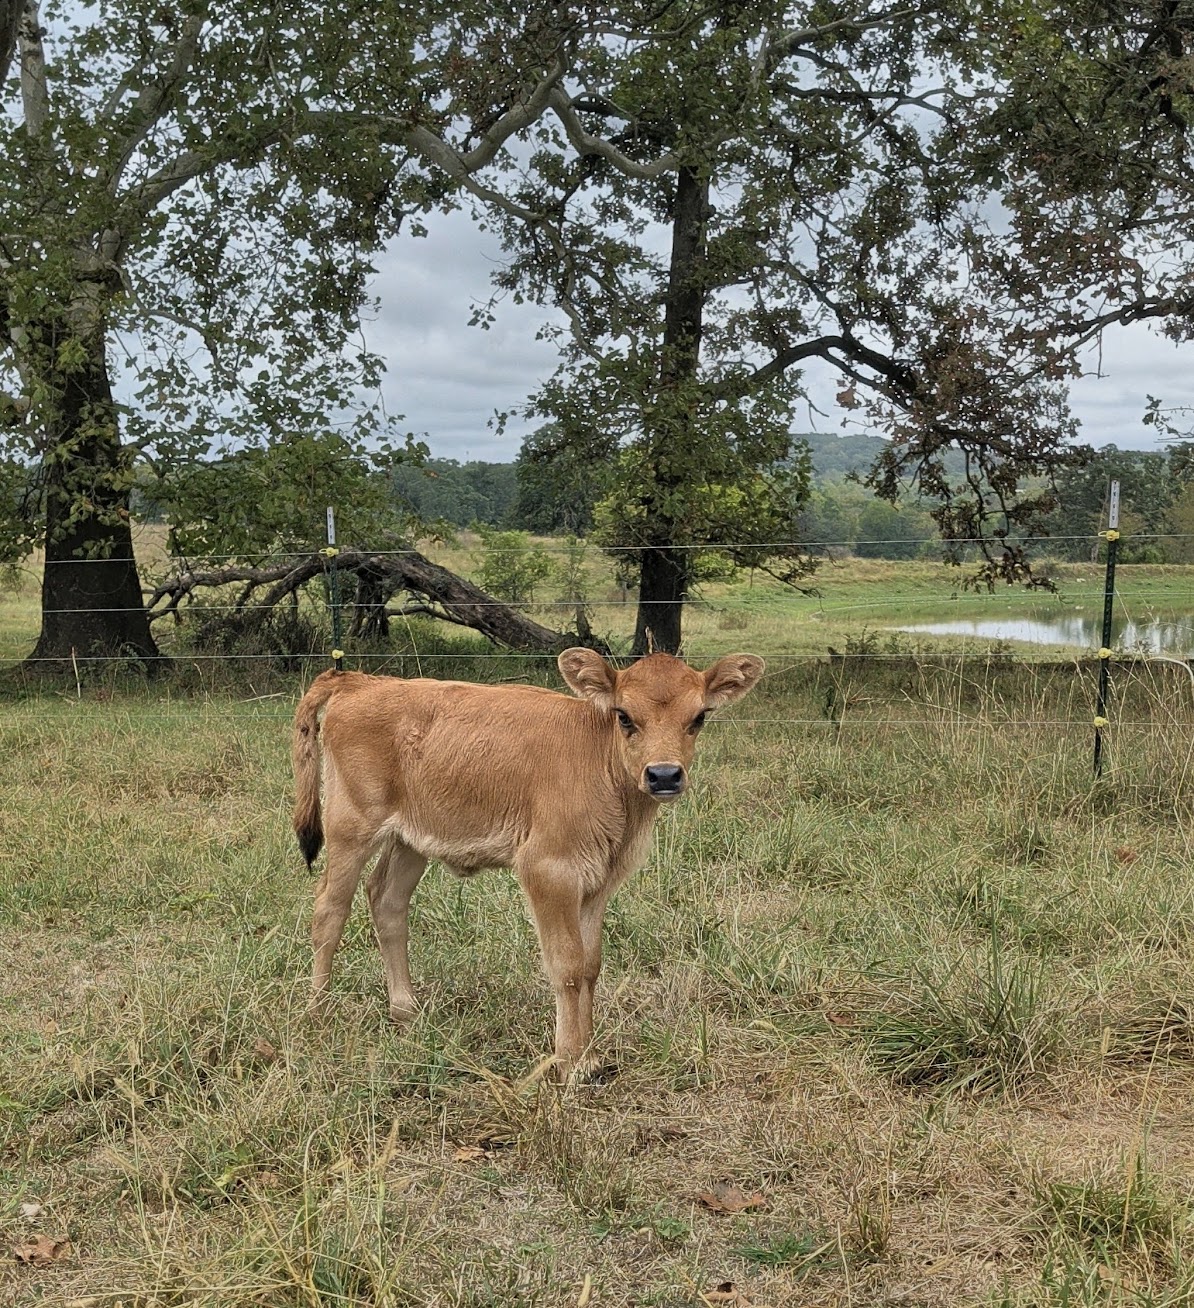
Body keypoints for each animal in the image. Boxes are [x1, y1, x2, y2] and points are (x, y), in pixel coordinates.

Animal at [291, 646, 764, 1078]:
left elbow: (590, 965)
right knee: (330, 910)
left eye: (699, 717)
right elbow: (566, 965)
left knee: (387, 901)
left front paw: (589, 1057)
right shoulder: (549, 870)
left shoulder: (599, 881)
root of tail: (359, 682)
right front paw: (569, 1063)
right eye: (624, 716)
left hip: (410, 839)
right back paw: (318, 1013)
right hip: (349, 829)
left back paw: (406, 1010)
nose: (664, 775)